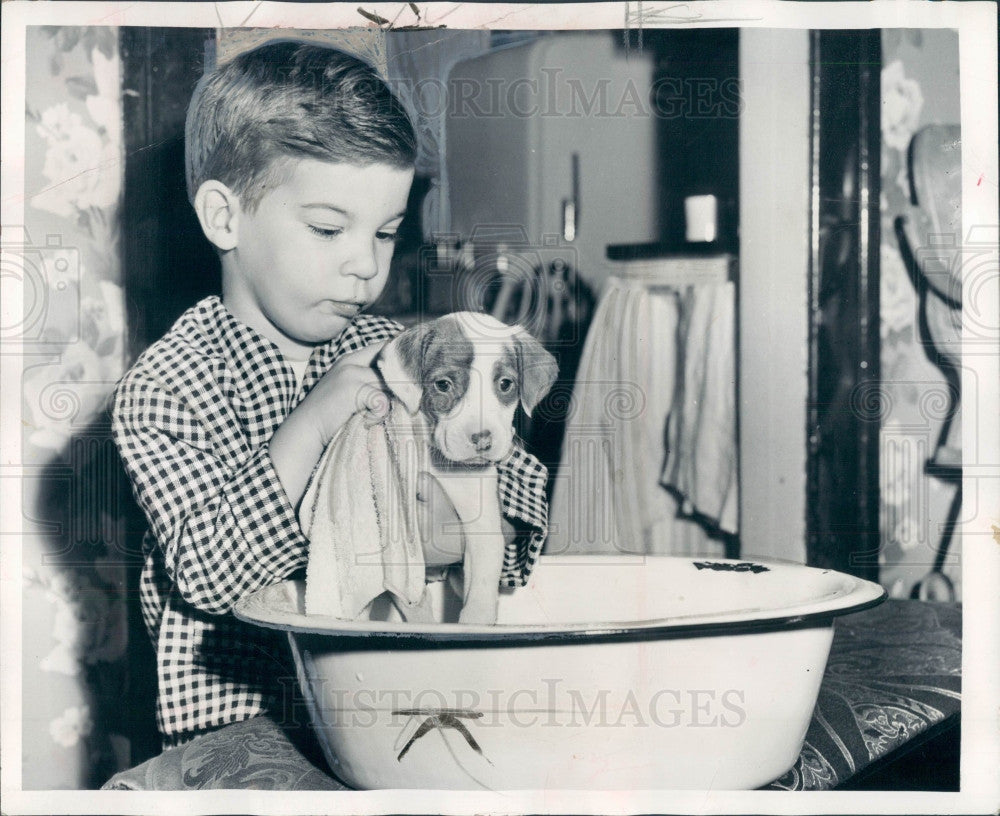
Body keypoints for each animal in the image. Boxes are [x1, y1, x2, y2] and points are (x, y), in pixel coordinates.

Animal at [378, 312, 560, 624]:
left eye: (505, 384)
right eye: (442, 385)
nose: (483, 439)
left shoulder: (482, 525)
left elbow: (482, 587)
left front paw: (475, 624)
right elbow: (410, 598)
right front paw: (424, 625)